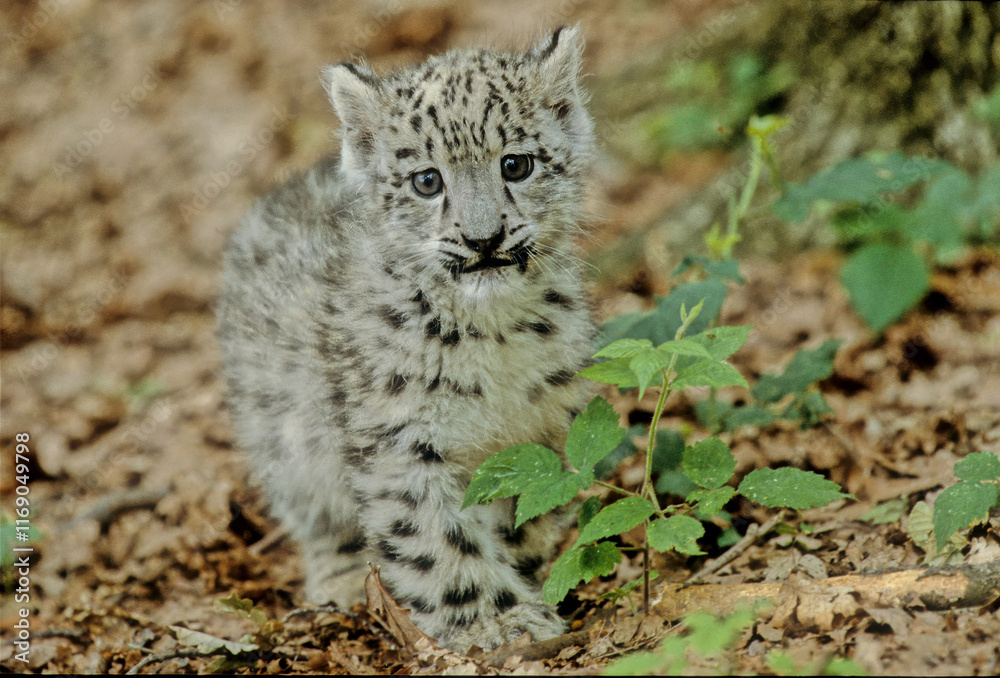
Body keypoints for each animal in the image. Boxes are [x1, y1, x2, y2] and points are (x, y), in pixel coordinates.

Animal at [216, 26, 597, 652]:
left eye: (516, 164)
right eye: (427, 180)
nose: (483, 238)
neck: (491, 334)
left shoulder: (544, 423)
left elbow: (528, 514)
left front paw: (520, 581)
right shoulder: (399, 439)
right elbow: (436, 539)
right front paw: (497, 620)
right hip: (282, 436)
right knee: (314, 514)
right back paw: (343, 579)